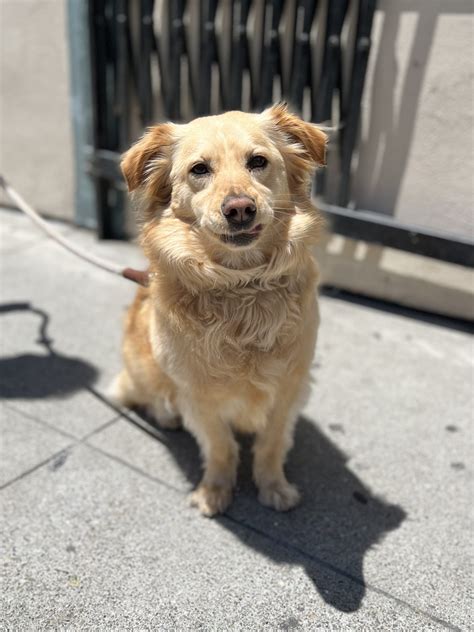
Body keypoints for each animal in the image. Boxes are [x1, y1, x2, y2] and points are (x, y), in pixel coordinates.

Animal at [112, 103, 326, 516]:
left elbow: (272, 444)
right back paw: (165, 413)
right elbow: (220, 446)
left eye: (258, 161)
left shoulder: (290, 387)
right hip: (141, 368)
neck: (241, 286)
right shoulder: (198, 396)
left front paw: (273, 486)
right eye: (199, 169)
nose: (240, 209)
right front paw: (215, 490)